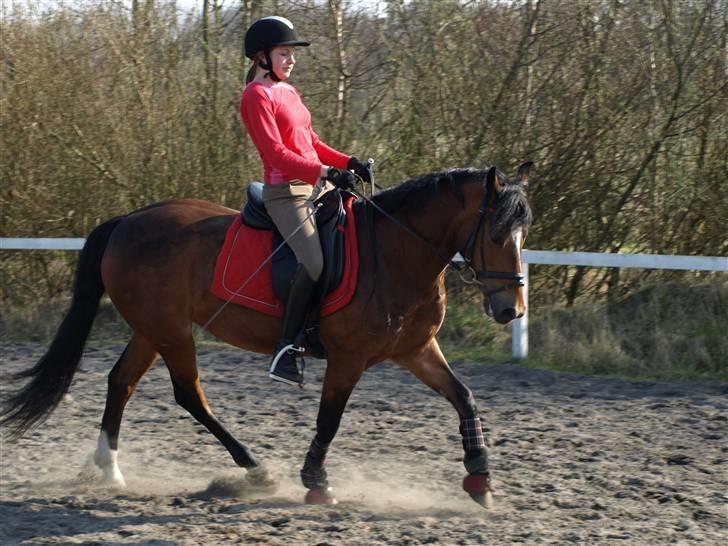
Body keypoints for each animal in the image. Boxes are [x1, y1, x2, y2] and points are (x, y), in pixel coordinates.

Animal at [1, 162, 536, 506]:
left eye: (524, 235)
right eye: (495, 234)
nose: (510, 310)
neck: (395, 253)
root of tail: (129, 220)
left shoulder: (416, 350)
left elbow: (464, 397)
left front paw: (481, 480)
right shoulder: (348, 358)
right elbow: (329, 421)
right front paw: (316, 483)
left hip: (152, 329)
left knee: (121, 382)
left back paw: (110, 470)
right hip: (171, 332)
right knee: (188, 393)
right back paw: (255, 469)